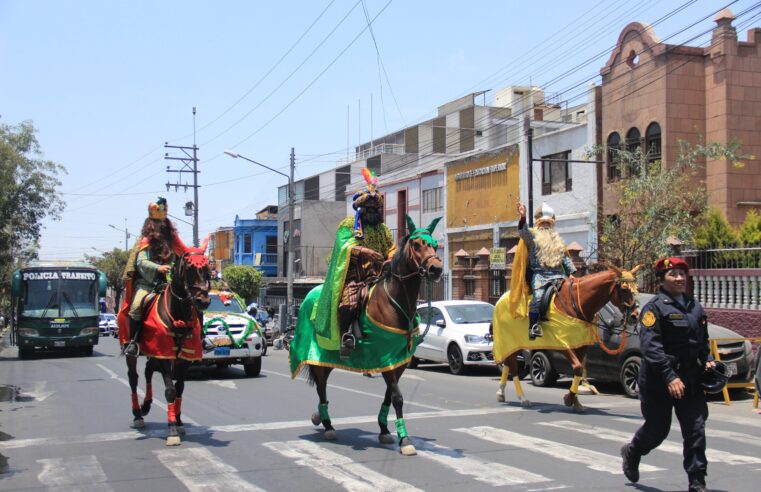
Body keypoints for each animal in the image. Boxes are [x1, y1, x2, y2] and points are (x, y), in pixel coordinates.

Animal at [292, 221, 446, 456]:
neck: (395, 303)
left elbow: (389, 396)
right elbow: (398, 398)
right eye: (417, 244)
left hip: (326, 359)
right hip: (316, 357)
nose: (436, 269)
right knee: (321, 387)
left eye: (435, 244)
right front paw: (404, 440)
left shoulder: (397, 362)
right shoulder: (384, 356)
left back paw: (320, 417)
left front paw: (384, 430)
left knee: (322, 386)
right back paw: (328, 426)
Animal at [492, 266, 640, 412]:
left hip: (517, 343)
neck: (576, 304)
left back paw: (501, 393)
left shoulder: (581, 346)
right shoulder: (562, 343)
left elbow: (579, 370)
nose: (634, 316)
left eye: (636, 289)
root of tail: (501, 299)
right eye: (624, 289)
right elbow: (578, 367)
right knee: (513, 367)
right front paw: (569, 398)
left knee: (508, 363)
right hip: (510, 340)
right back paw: (523, 398)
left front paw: (575, 401)